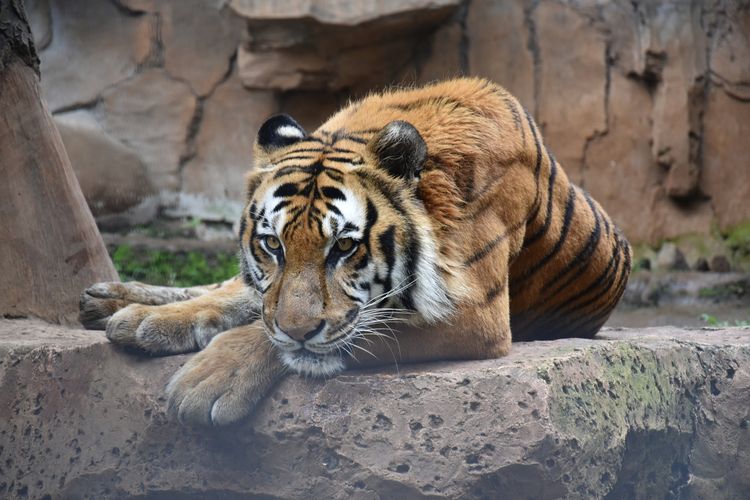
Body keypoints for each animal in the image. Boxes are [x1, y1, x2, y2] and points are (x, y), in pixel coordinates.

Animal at [79, 78, 632, 426]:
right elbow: (259, 310)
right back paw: (116, 304)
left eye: (343, 246)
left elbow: (285, 333)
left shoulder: (478, 314)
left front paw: (210, 381)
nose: (298, 330)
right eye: (272, 244)